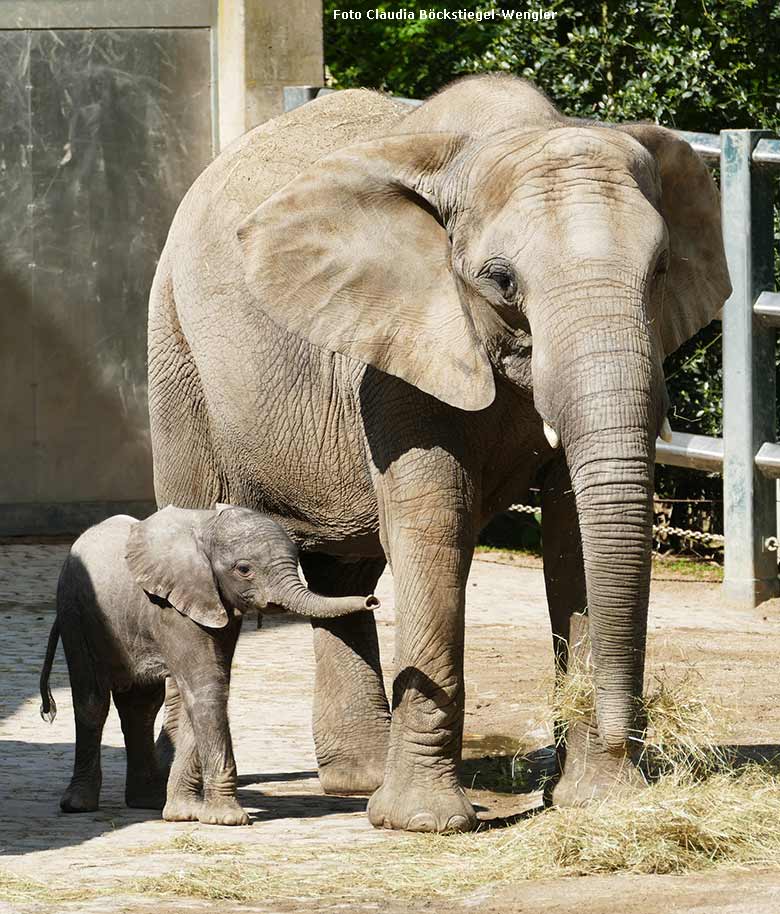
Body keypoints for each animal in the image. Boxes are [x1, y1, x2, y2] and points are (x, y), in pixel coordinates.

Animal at [41, 502, 380, 824]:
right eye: (244, 569)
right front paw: (228, 819)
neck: (206, 527)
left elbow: (203, 691)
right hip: (74, 610)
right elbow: (205, 688)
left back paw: (146, 802)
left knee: (141, 707)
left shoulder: (217, 605)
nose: (372, 600)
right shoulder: (172, 604)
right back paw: (78, 805)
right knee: (92, 700)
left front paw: (183, 813)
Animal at [148, 75, 732, 832]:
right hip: (176, 346)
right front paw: (426, 824)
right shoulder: (398, 339)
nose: (623, 732)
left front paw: (599, 802)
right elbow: (435, 523)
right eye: (501, 280)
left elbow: (574, 541)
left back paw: (358, 781)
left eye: (660, 271)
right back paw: (181, 796)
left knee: (342, 575)